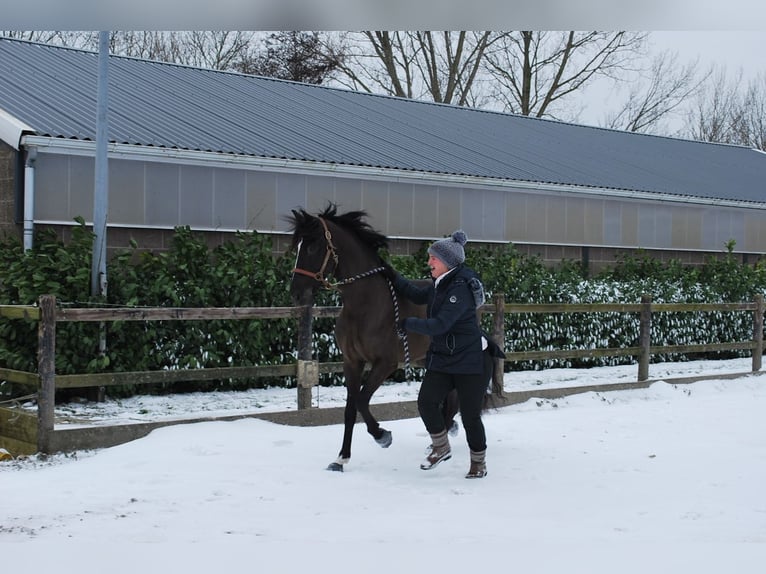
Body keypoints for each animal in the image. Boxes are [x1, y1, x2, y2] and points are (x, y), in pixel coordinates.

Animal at [286, 206, 456, 472]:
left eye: (312, 246)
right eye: (298, 246)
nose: (296, 293)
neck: (365, 306)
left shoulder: (385, 364)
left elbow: (362, 400)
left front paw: (382, 435)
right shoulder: (351, 362)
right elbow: (350, 408)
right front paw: (341, 459)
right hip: (428, 361)